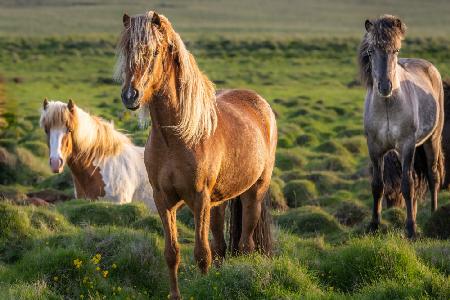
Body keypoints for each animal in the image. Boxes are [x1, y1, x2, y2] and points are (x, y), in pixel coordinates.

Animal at [115, 11, 278, 298]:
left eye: (154, 51)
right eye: (127, 49)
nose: (130, 95)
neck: (176, 136)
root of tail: (260, 104)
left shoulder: (199, 198)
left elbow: (202, 253)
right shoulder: (163, 199)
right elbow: (172, 252)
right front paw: (176, 294)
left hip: (254, 192)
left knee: (245, 245)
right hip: (219, 200)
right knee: (222, 246)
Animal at [360, 15, 444, 238]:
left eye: (395, 51)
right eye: (371, 52)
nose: (385, 87)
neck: (388, 106)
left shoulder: (406, 145)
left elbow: (407, 186)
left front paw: (411, 229)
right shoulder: (375, 148)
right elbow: (377, 186)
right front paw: (374, 225)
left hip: (432, 139)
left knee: (432, 176)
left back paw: (433, 214)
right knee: (414, 177)